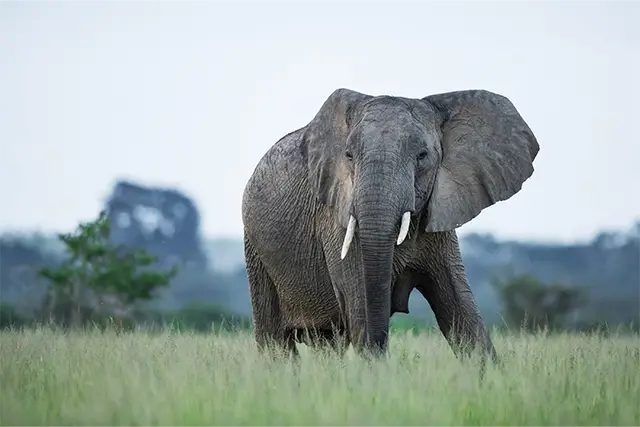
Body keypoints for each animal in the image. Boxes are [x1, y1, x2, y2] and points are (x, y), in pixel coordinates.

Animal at [241, 88, 539, 363]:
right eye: (349, 155)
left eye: (422, 156)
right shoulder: (336, 217)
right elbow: (361, 308)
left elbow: (461, 310)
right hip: (255, 249)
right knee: (275, 340)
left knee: (328, 342)